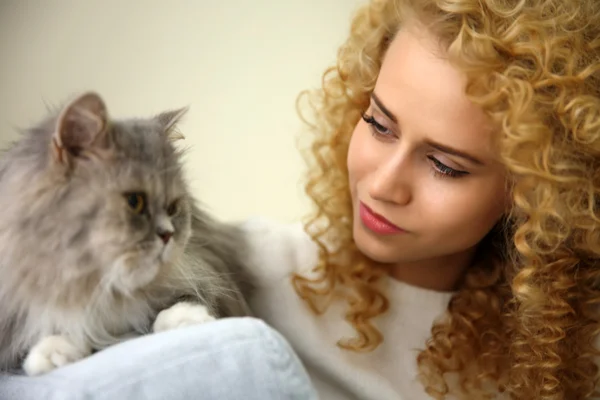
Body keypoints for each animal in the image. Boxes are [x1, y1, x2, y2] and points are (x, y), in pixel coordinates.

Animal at [0, 92, 251, 376]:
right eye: (135, 202)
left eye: (173, 208)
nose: (168, 234)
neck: (102, 293)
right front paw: (53, 354)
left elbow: (182, 301)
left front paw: (187, 319)